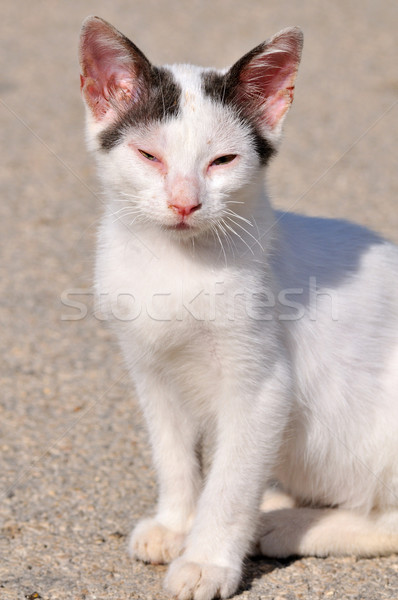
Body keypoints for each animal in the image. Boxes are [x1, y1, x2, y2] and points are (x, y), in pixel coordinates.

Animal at [78, 15, 398, 600]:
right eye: (149, 156)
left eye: (222, 161)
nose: (184, 202)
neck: (176, 264)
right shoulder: (150, 370)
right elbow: (173, 452)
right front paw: (176, 523)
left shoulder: (263, 388)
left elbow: (230, 482)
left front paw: (206, 559)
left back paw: (286, 524)